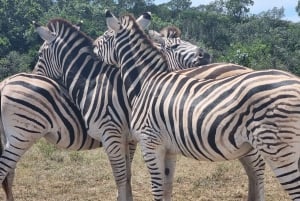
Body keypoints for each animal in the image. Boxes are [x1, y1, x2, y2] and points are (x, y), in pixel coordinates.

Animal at [95, 11, 300, 201]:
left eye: (105, 36)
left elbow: (158, 190)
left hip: (277, 150)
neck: (145, 80)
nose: (92, 46)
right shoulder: (169, 149)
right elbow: (167, 188)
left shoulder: (150, 143)